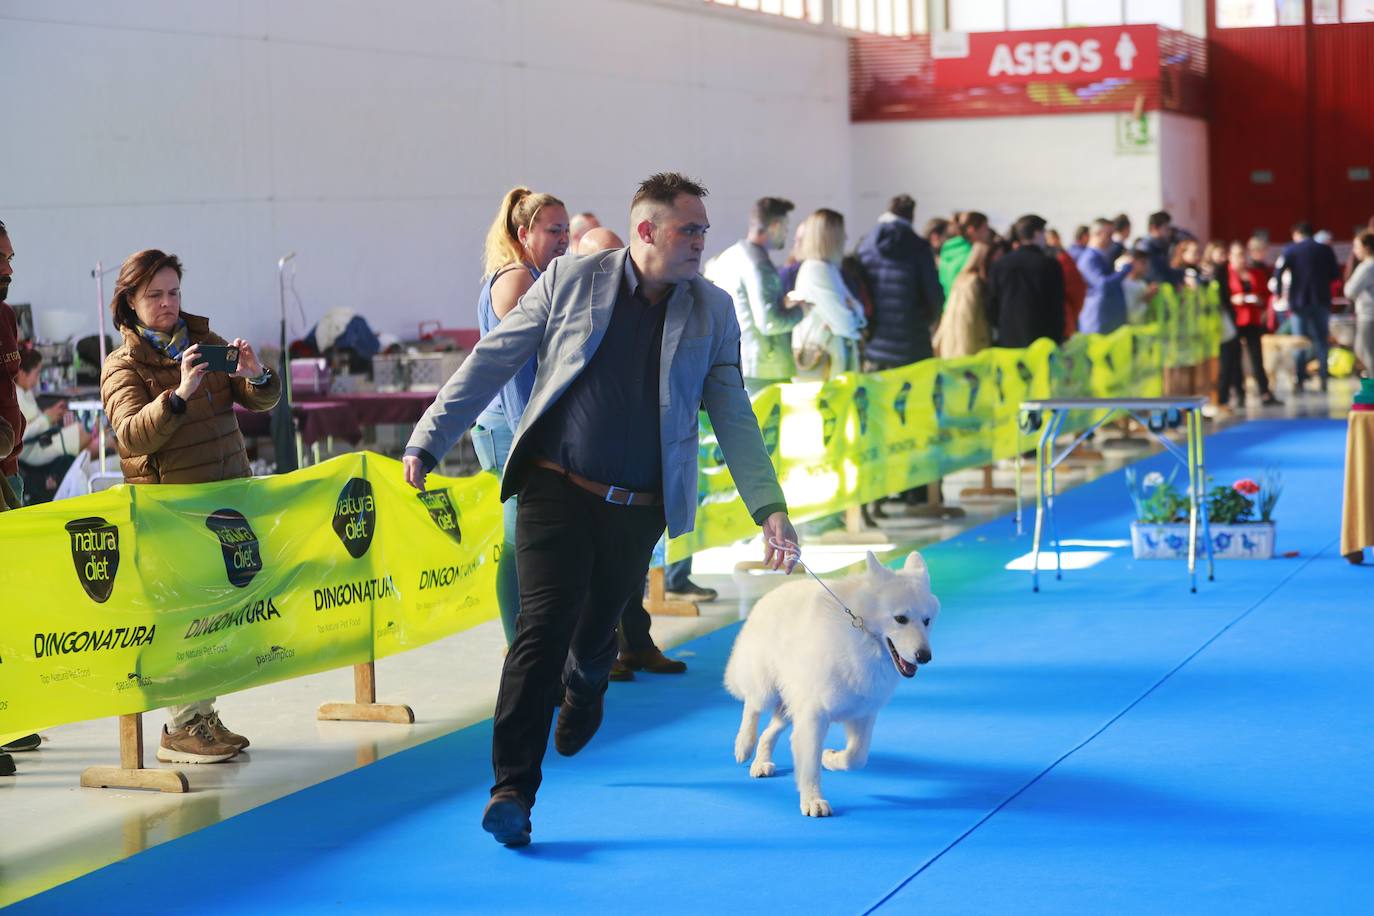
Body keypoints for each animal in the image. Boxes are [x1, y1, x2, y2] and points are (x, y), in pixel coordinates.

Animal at [725, 552, 939, 818]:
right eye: (900, 619)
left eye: (926, 621)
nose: (924, 656)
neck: (861, 640)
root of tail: (770, 593)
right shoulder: (814, 716)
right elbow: (809, 764)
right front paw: (813, 800)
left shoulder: (862, 715)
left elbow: (856, 757)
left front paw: (831, 758)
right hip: (767, 691)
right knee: (752, 707)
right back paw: (744, 745)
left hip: (789, 709)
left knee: (768, 732)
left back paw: (761, 762)